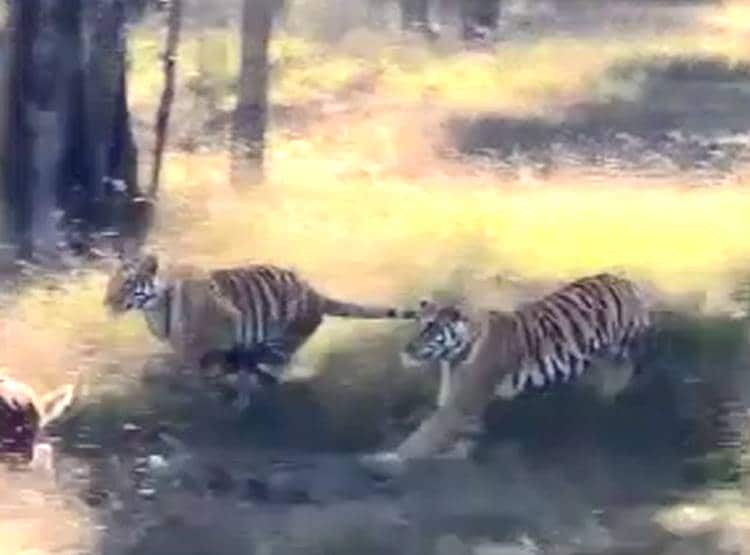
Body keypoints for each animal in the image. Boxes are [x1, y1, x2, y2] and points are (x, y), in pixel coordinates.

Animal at [104, 254, 417, 410]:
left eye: (127, 283)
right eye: (111, 282)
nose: (107, 302)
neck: (153, 306)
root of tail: (315, 294)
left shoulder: (220, 328)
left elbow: (191, 365)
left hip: (280, 341)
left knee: (267, 373)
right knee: (255, 369)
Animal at [360, 273, 652, 477]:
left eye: (430, 328)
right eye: (418, 324)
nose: (407, 349)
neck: (453, 353)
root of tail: (624, 280)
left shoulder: (462, 401)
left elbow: (425, 434)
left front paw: (387, 460)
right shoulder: (458, 398)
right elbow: (460, 431)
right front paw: (457, 454)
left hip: (624, 345)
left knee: (626, 368)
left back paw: (611, 396)